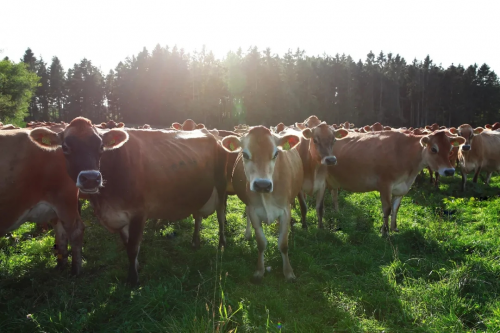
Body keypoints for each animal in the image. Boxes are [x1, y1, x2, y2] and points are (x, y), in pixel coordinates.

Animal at [28, 116, 228, 282]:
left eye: (101, 147)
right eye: (65, 147)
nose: (91, 178)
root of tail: (211, 133)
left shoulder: (139, 212)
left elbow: (132, 247)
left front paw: (133, 280)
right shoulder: (118, 216)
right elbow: (127, 245)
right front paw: (136, 268)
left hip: (221, 185)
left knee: (220, 214)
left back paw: (222, 243)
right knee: (198, 215)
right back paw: (195, 242)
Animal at [221, 126, 302, 282]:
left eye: (276, 153)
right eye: (245, 154)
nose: (262, 185)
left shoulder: (285, 210)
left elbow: (283, 244)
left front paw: (288, 272)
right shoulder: (253, 210)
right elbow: (261, 243)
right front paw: (259, 270)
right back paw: (247, 234)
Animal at [328, 128, 464, 235]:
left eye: (450, 149)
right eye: (434, 149)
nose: (450, 171)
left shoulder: (401, 189)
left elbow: (395, 208)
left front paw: (394, 228)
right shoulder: (385, 185)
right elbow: (387, 209)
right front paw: (384, 231)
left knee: (334, 194)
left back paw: (336, 213)